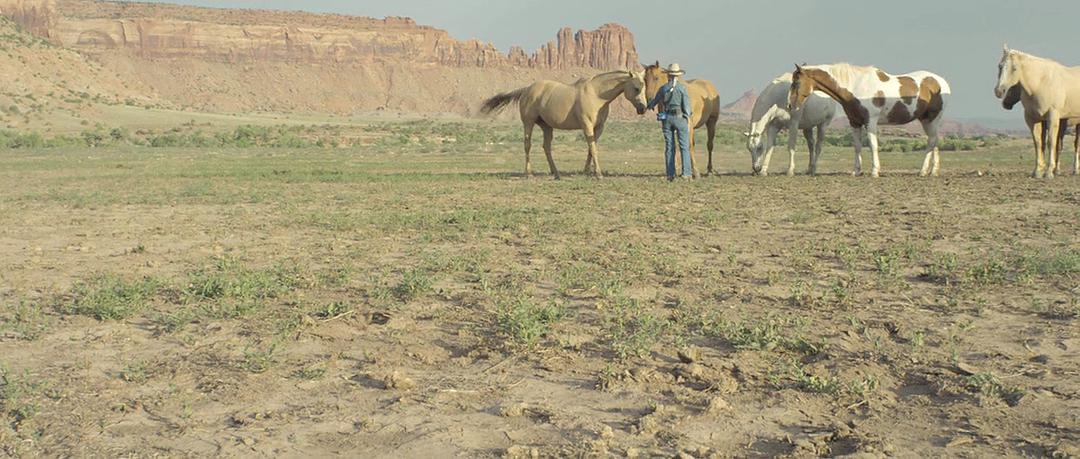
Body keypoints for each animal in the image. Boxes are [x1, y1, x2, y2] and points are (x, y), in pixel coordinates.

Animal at [483, 70, 648, 178]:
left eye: (644, 87)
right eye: (636, 88)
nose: (643, 108)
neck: (596, 94)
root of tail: (526, 89)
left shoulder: (598, 128)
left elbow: (591, 148)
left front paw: (587, 171)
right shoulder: (587, 126)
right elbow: (593, 149)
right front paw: (598, 174)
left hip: (546, 127)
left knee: (546, 147)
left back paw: (556, 173)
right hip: (528, 123)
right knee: (527, 145)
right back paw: (529, 174)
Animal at [786, 61, 954, 174]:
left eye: (796, 82)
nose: (790, 105)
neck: (856, 87)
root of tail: (941, 83)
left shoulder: (870, 122)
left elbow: (873, 145)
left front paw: (875, 171)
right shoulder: (854, 122)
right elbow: (857, 146)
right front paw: (856, 171)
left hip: (933, 119)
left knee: (931, 142)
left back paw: (922, 171)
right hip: (927, 120)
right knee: (934, 141)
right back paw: (933, 171)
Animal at [989, 46, 1080, 178]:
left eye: (1014, 68)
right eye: (999, 66)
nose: (999, 91)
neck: (1041, 83)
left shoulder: (1052, 117)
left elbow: (1051, 142)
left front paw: (1049, 172)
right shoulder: (1033, 119)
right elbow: (1038, 143)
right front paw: (1037, 171)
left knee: (1077, 145)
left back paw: (1075, 170)